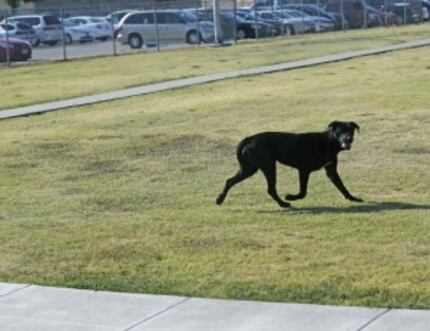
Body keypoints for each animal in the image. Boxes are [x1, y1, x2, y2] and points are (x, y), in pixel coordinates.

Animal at [217, 122, 362, 209]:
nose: (348, 138)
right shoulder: (304, 170)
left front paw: (352, 198)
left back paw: (220, 199)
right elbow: (303, 192)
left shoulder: (331, 171)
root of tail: (250, 138)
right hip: (266, 167)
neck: (328, 142)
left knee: (230, 181)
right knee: (270, 189)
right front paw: (291, 196)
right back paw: (284, 203)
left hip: (250, 168)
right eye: (341, 131)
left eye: (351, 130)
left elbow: (342, 186)